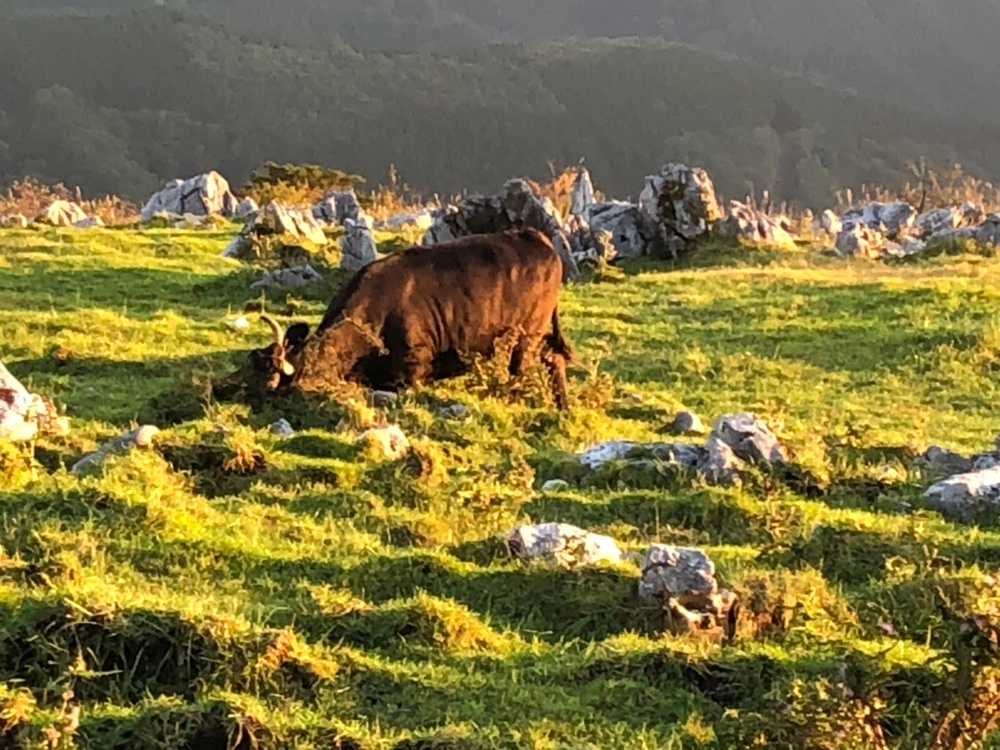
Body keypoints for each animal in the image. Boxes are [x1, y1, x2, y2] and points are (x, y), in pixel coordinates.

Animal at [226, 229, 574, 409]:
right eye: (252, 364)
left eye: (271, 382)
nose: (230, 391)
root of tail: (536, 237)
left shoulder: (414, 367)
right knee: (554, 360)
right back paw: (562, 407)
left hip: (528, 333)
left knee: (523, 368)